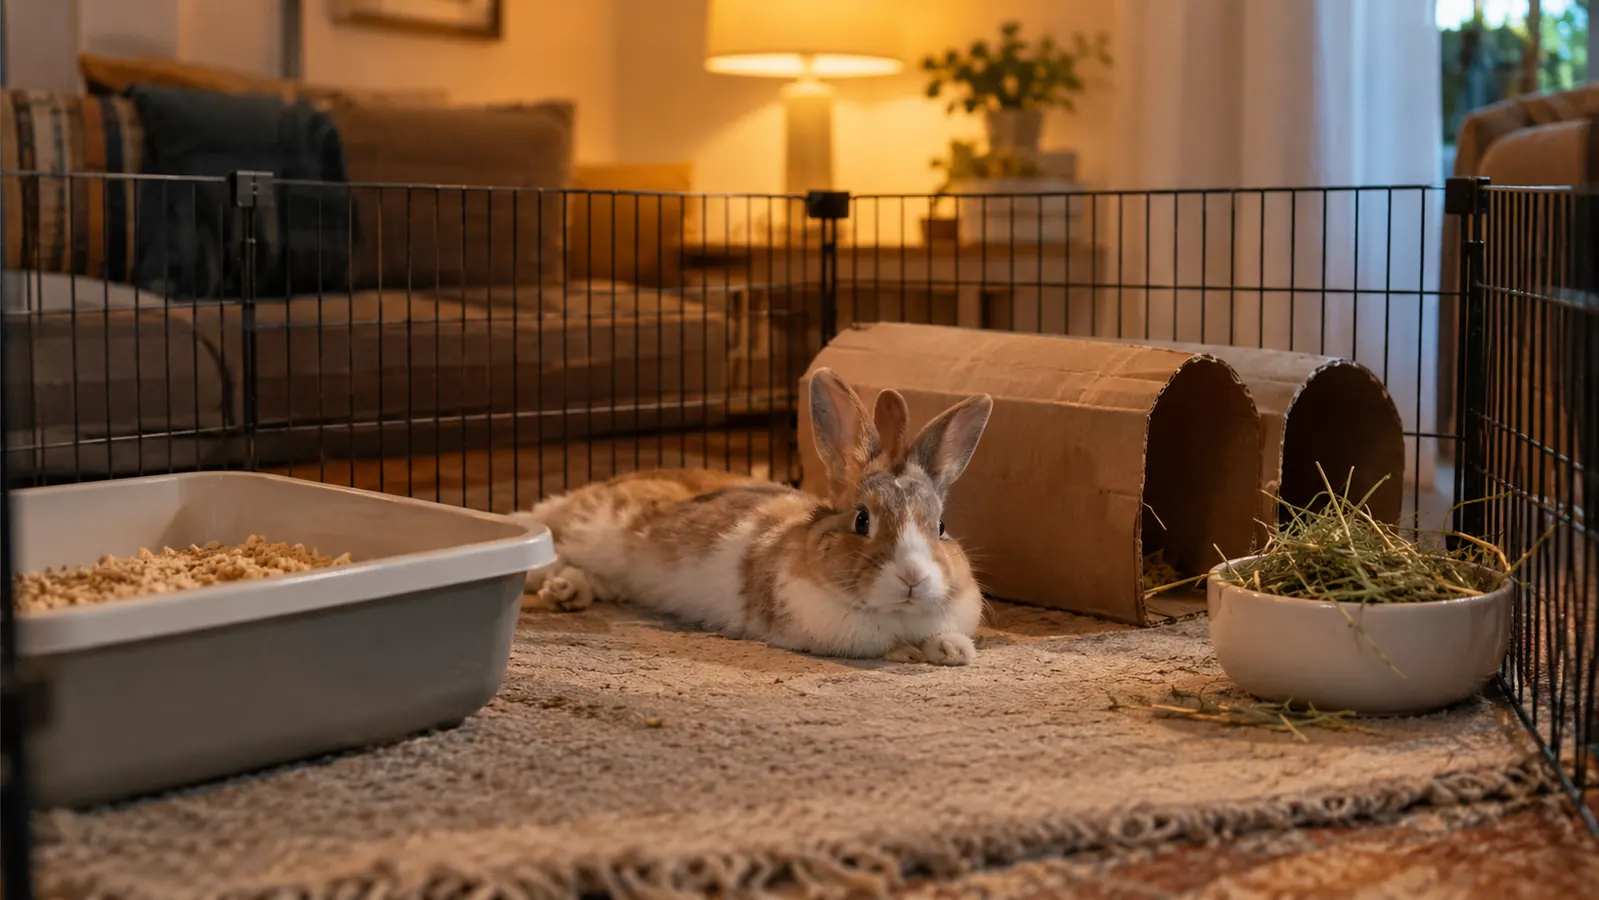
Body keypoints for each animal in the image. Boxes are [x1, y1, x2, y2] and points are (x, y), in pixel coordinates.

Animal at [506, 367, 995, 665]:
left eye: (941, 527)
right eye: (862, 521)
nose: (912, 577)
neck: (897, 612)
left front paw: (953, 650)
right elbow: (885, 645)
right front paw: (910, 653)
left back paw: (569, 593)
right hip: (590, 532)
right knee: (550, 553)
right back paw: (555, 584)